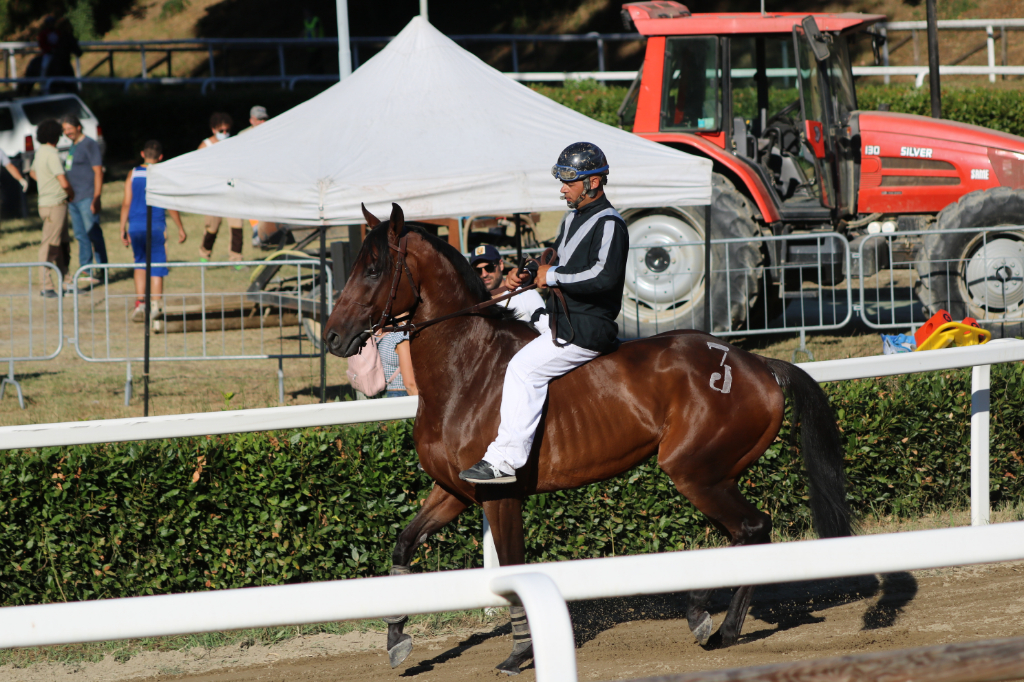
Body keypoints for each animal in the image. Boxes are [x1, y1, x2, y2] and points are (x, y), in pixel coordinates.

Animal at [323, 201, 851, 667]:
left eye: (373, 268)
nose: (331, 336)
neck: (467, 370)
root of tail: (756, 362)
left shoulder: (501, 496)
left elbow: (513, 573)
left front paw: (520, 652)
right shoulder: (454, 491)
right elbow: (403, 544)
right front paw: (396, 639)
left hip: (693, 471)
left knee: (753, 527)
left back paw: (707, 615)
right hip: (716, 475)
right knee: (746, 534)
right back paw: (719, 624)